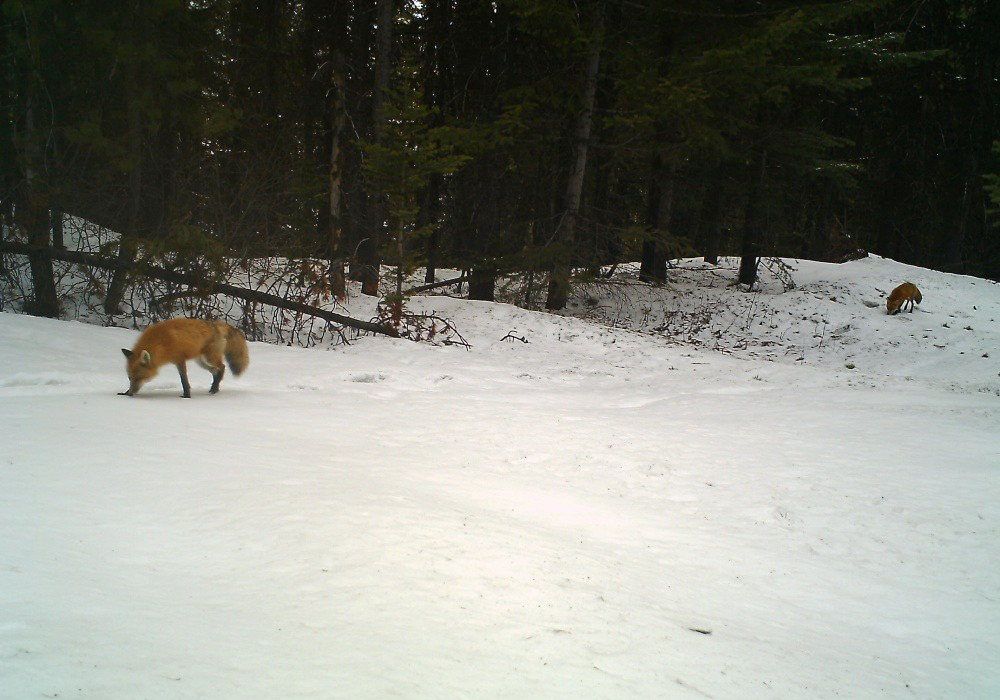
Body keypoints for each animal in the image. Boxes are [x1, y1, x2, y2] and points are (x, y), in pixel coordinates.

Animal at [119, 318, 249, 398]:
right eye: (130, 378)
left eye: (139, 378)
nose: (130, 394)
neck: (161, 344)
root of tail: (217, 324)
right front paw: (124, 393)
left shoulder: (180, 359)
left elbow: (184, 380)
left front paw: (186, 396)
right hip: (201, 362)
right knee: (215, 371)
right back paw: (214, 388)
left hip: (209, 358)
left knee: (222, 367)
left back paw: (214, 388)